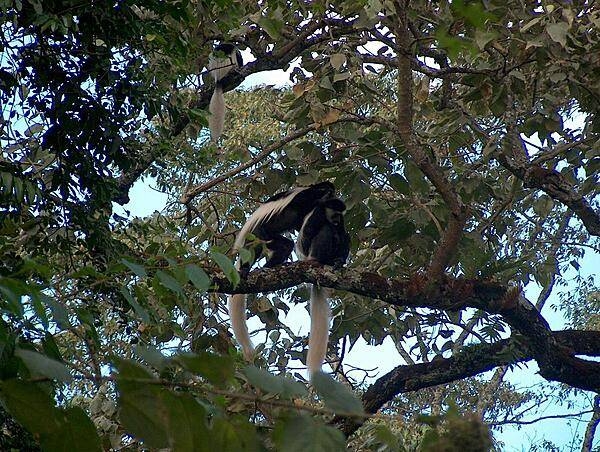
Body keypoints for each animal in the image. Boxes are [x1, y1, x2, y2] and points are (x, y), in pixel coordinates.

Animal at [227, 180, 338, 360]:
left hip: (268, 238)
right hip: (258, 232)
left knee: (285, 245)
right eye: (328, 192)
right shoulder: (304, 197)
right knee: (260, 242)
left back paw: (269, 267)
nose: (330, 194)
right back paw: (247, 269)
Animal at [296, 198, 352, 378]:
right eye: (335, 213)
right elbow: (309, 233)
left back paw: (337, 261)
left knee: (345, 235)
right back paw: (318, 259)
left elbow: (342, 232)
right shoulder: (318, 213)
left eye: (340, 214)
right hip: (312, 252)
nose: (336, 220)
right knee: (325, 231)